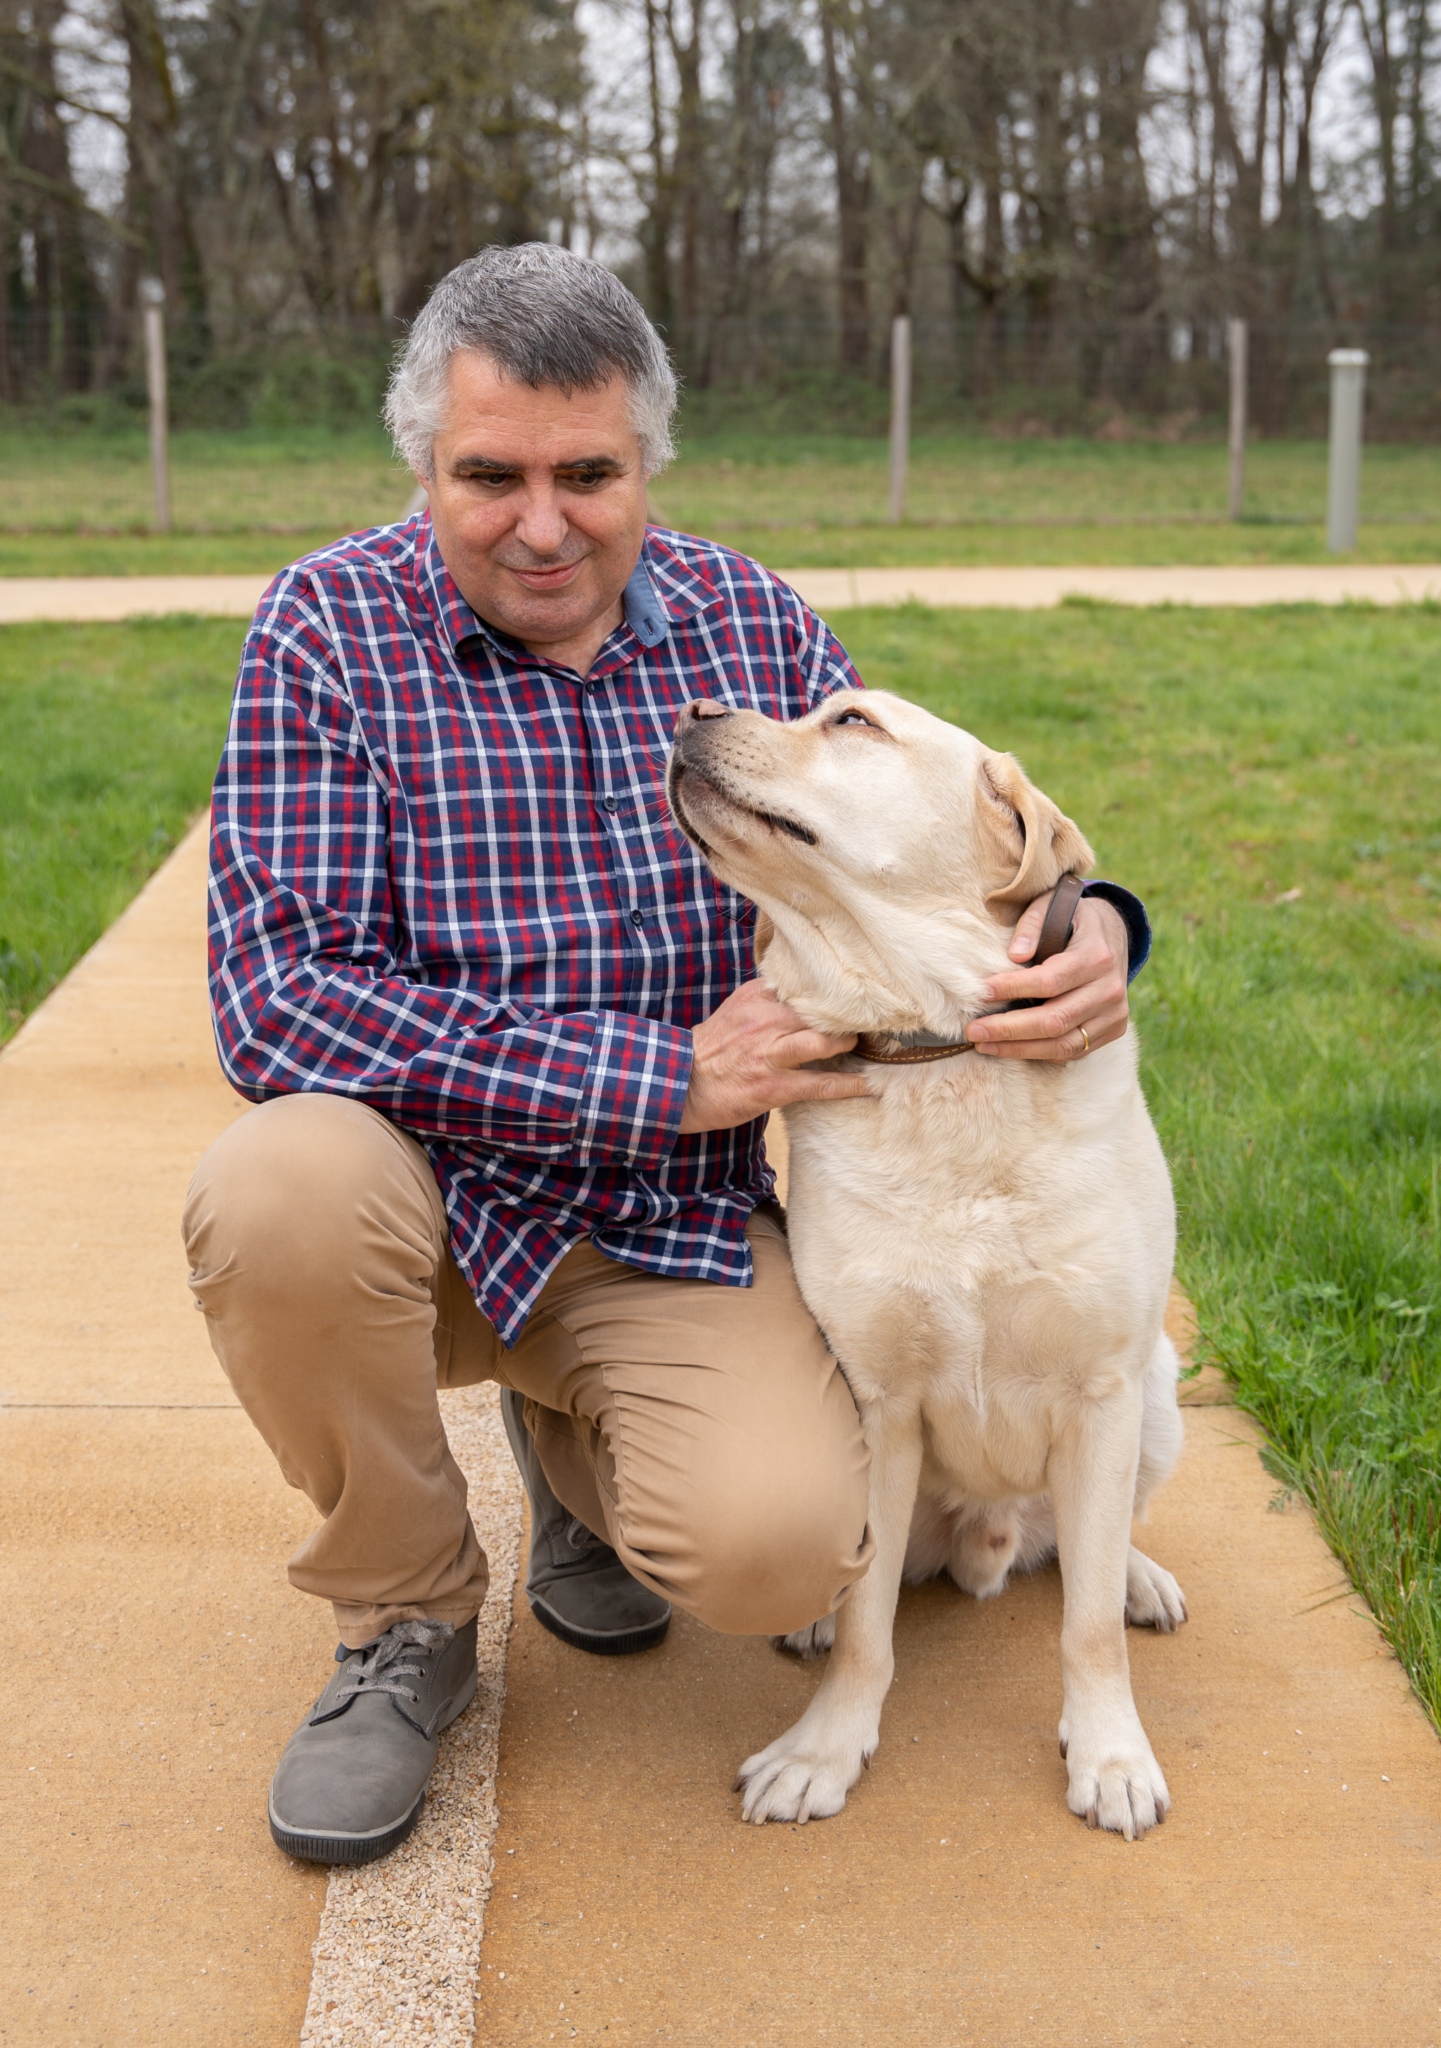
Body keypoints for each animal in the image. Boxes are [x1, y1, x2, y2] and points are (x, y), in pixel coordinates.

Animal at [671, 688, 1187, 1843]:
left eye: (851, 720)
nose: (692, 706)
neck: (938, 1048)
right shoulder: (878, 1404)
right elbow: (870, 1625)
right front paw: (823, 1749)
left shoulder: (1101, 1388)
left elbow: (1087, 1627)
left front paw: (1111, 1754)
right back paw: (817, 1620)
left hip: (1158, 1392)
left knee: (1098, 1547)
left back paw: (1139, 1576)